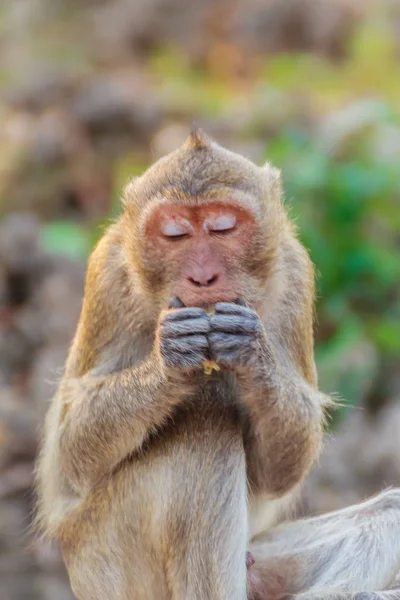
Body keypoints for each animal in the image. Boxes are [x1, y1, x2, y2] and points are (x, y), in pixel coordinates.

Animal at [36, 127, 400, 600]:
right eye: (174, 233)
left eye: (223, 227)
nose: (203, 277)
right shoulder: (108, 271)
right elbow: (70, 456)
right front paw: (170, 361)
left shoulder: (295, 270)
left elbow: (276, 474)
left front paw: (251, 353)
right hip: (104, 559)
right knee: (203, 431)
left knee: (389, 510)